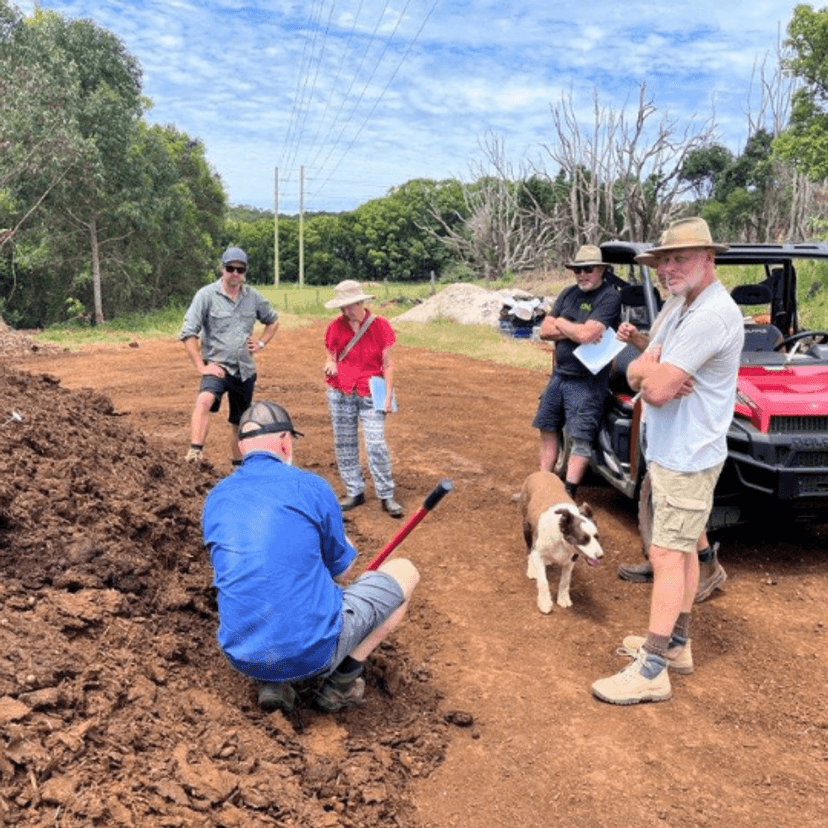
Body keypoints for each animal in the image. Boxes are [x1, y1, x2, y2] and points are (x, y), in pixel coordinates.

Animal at [520, 472, 604, 616]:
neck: (561, 541)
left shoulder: (571, 560)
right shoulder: (538, 552)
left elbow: (565, 581)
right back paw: (532, 569)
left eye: (597, 537)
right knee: (529, 549)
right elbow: (543, 581)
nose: (600, 556)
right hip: (527, 526)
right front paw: (545, 603)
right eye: (583, 539)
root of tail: (541, 472)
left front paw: (563, 598)